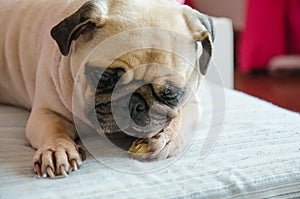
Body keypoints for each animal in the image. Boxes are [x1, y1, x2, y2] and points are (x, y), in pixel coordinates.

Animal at [0, 0, 213, 179]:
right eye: (105, 78)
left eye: (171, 94)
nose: (135, 104)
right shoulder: (47, 112)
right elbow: (54, 128)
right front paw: (56, 149)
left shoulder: (192, 101)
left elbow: (180, 119)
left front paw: (165, 138)